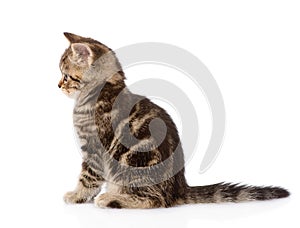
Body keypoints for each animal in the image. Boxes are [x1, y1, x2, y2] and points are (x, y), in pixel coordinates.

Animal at [57, 32, 290, 208]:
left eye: (66, 76)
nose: (58, 85)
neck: (104, 90)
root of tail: (178, 188)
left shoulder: (95, 147)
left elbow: (88, 176)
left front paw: (77, 195)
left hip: (133, 163)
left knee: (154, 200)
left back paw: (111, 199)